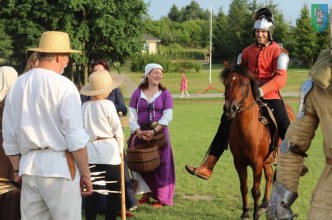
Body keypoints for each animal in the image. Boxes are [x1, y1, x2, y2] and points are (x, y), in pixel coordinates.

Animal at [222, 62, 294, 219]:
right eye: (225, 83)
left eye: (243, 83)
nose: (230, 109)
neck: (247, 128)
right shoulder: (239, 163)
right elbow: (244, 187)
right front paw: (245, 213)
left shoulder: (257, 163)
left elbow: (255, 190)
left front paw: (255, 214)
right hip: (267, 161)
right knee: (269, 176)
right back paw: (265, 204)